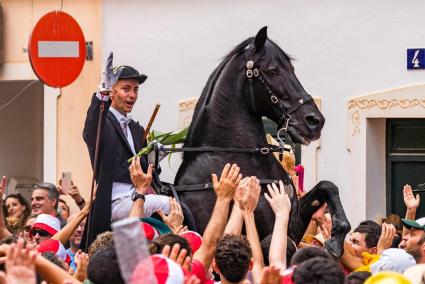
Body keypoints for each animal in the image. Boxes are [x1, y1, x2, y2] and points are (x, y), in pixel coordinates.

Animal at [173, 26, 352, 258]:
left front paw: (337, 236)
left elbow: (327, 186)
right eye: (273, 71)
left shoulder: (291, 224)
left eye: (292, 69)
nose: (315, 121)